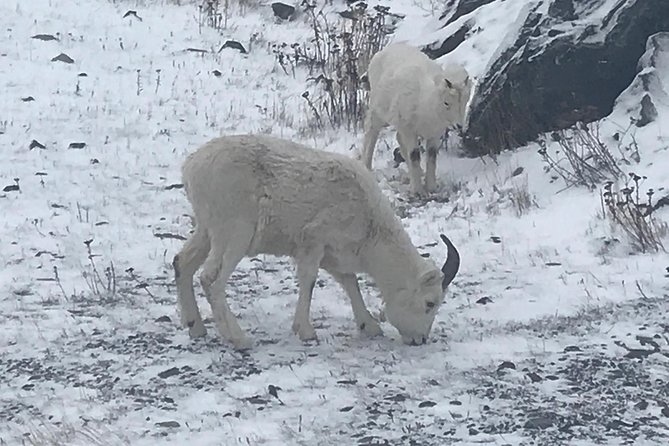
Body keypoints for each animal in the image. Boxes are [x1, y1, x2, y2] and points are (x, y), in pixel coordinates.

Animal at [172, 134, 460, 350]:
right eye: (430, 303)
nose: (420, 340)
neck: (371, 226)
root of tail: (191, 168)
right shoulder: (313, 244)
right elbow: (309, 282)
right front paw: (306, 332)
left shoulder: (334, 255)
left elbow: (350, 283)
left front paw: (369, 326)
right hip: (233, 235)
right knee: (211, 278)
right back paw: (239, 339)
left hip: (206, 232)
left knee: (182, 263)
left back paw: (196, 328)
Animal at [362, 43, 472, 195]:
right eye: (446, 103)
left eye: (465, 101)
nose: (459, 126)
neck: (426, 105)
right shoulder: (409, 131)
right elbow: (414, 155)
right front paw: (418, 190)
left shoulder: (434, 134)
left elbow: (431, 157)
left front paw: (431, 187)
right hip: (378, 111)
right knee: (371, 131)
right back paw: (366, 166)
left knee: (398, 139)